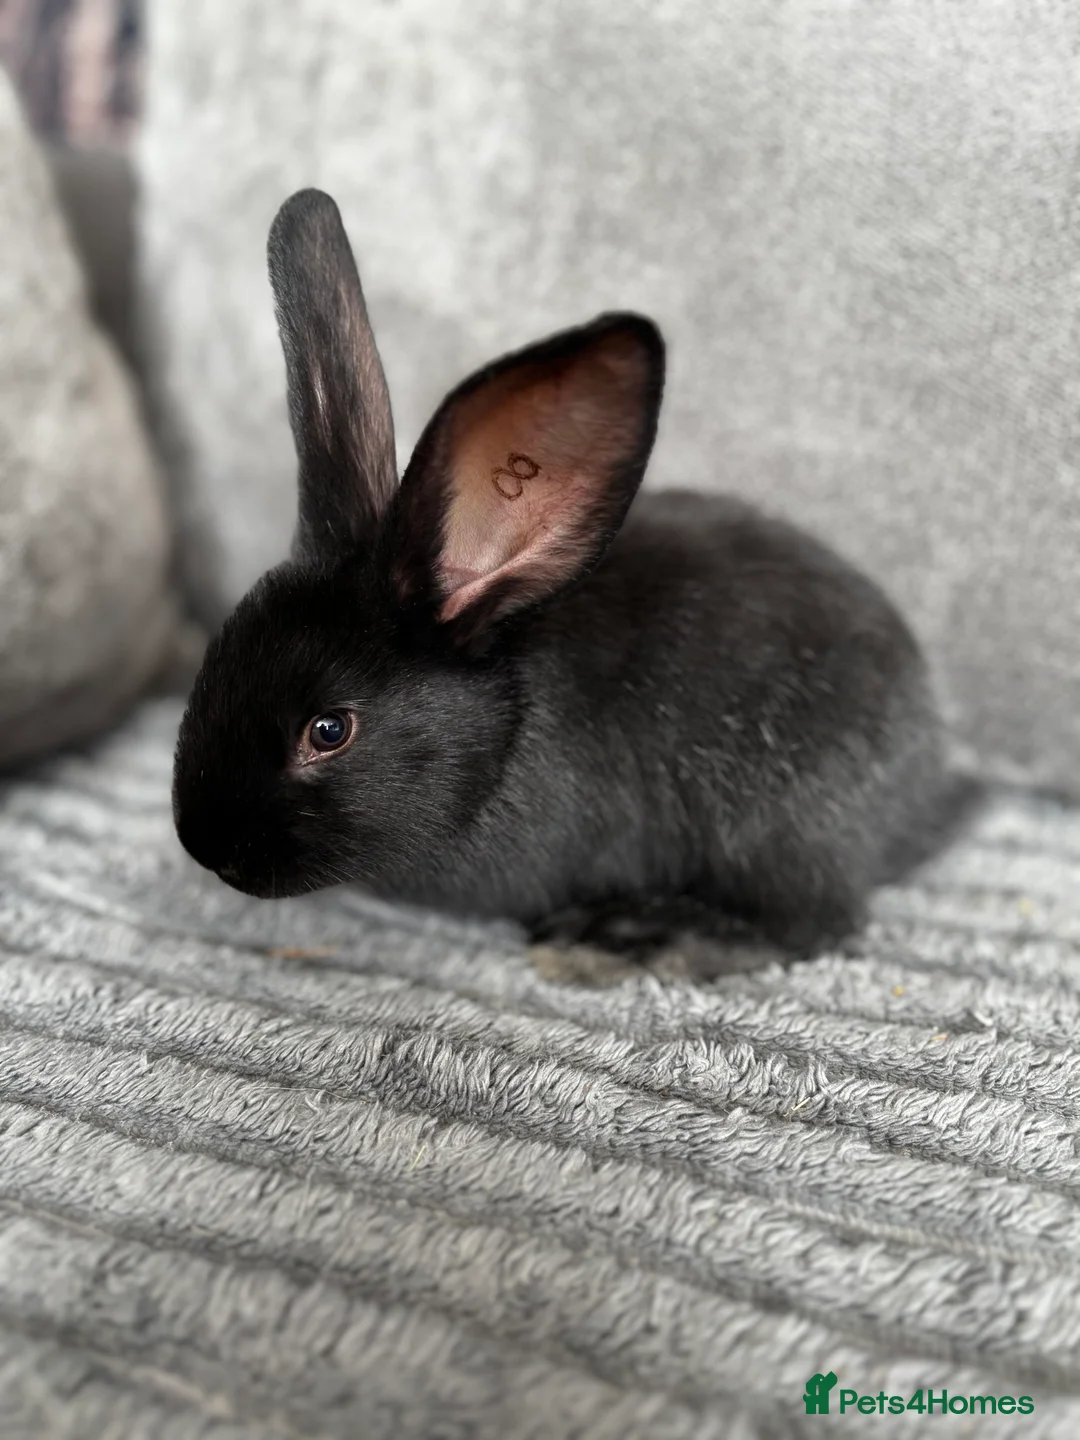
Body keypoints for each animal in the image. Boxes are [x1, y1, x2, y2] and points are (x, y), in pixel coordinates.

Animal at [173, 186, 953, 959]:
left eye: (330, 730)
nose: (208, 850)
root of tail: (929, 779)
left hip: (778, 831)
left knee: (810, 925)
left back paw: (639, 932)